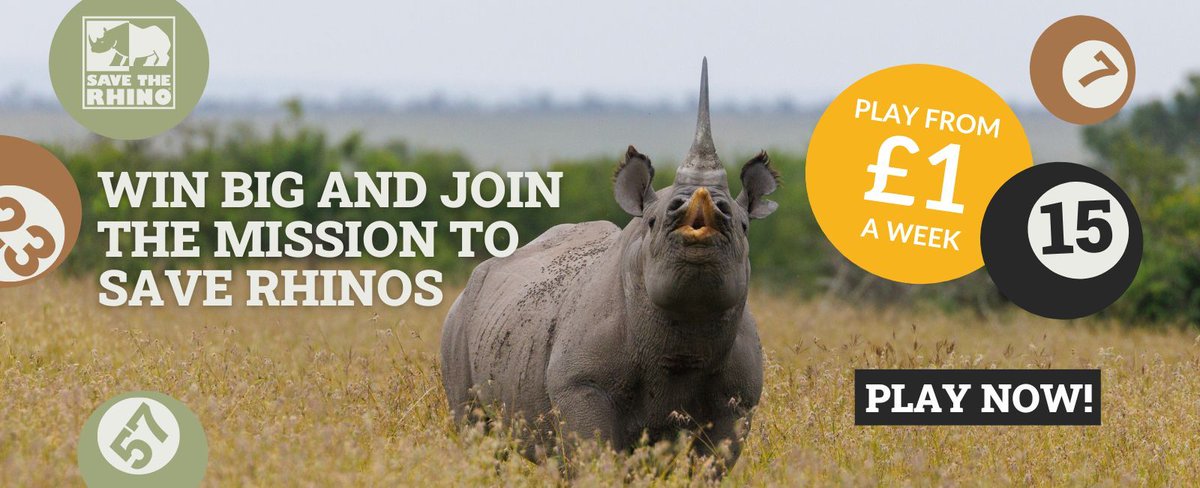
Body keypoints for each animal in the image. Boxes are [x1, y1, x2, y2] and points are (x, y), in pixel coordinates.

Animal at [440, 59, 779, 471]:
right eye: (653, 221)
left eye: (743, 226)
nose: (702, 212)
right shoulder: (582, 384)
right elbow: (596, 455)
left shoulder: (738, 400)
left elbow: (711, 463)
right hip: (459, 320)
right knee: (477, 432)